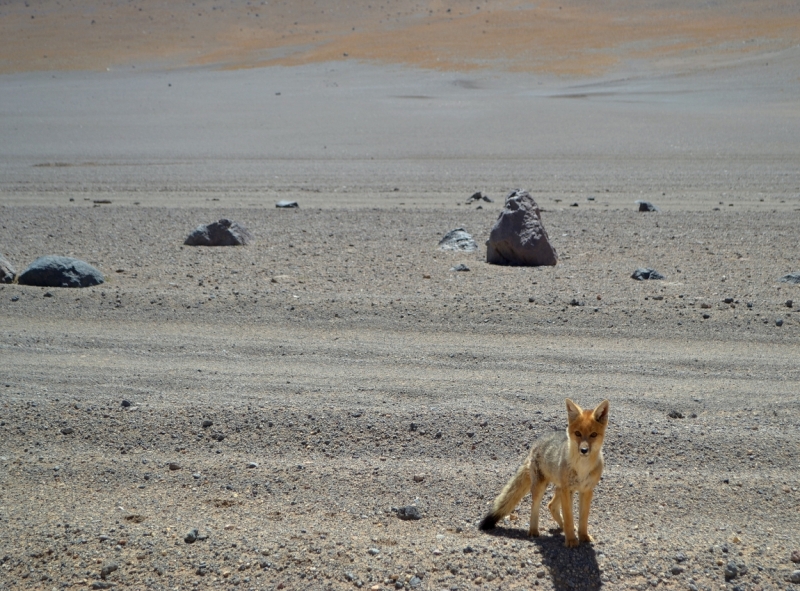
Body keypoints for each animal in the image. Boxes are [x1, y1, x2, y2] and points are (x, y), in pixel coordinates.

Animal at [478, 400, 608, 548]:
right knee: (536, 506)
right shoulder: (567, 490)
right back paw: (534, 531)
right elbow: (569, 517)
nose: (584, 450)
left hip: (563, 489)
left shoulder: (586, 490)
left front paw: (583, 536)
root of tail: (538, 441)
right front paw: (571, 540)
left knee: (551, 505)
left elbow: (583, 519)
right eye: (578, 433)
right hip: (542, 488)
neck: (582, 467)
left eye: (593, 435)